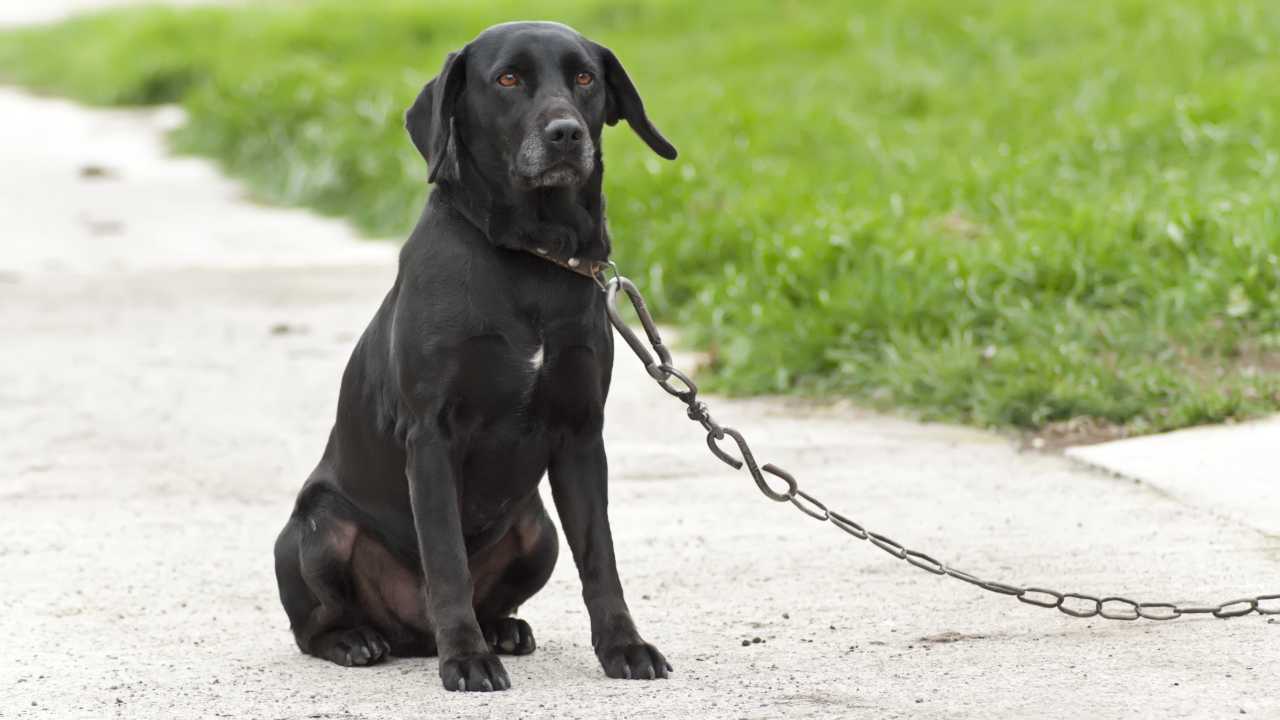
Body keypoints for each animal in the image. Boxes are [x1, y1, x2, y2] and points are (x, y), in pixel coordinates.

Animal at [273, 19, 680, 686]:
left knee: (509, 588)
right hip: (320, 527)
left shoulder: (581, 434)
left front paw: (625, 646)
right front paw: (465, 658)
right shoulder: (432, 437)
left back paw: (503, 629)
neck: (531, 257)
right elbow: (446, 562)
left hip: (538, 530)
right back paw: (360, 640)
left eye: (584, 77)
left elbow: (602, 559)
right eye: (508, 78)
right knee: (314, 625)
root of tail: (410, 635)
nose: (566, 134)